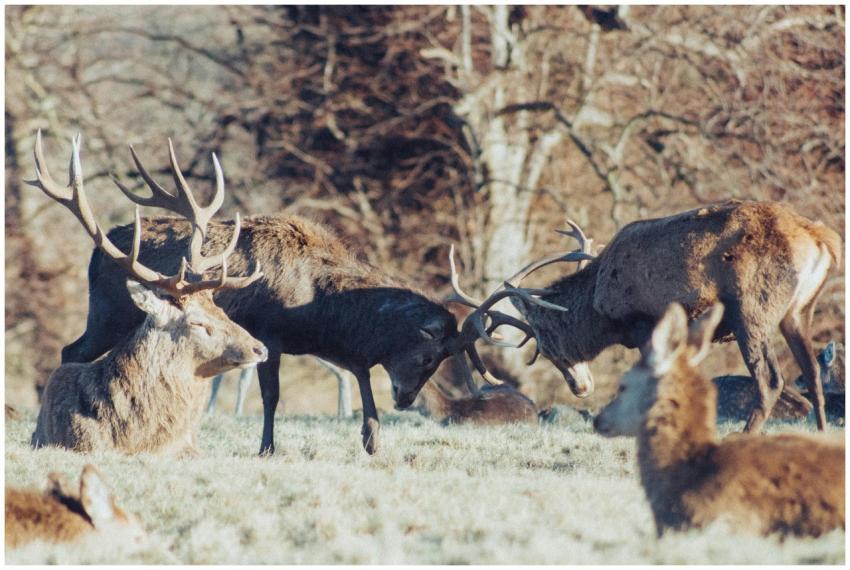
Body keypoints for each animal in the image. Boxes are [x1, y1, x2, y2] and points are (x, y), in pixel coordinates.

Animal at [54, 143, 560, 456]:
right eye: (428, 354)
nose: (404, 399)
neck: (321, 309)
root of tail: (97, 251)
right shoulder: (270, 334)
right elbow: (272, 395)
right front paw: (267, 448)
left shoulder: (337, 349)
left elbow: (360, 377)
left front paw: (373, 439)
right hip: (106, 314)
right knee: (69, 350)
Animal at [474, 201, 842, 433]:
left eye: (545, 346)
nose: (580, 388)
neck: (600, 305)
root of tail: (822, 241)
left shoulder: (645, 323)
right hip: (798, 311)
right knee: (812, 373)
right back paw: (821, 436)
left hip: (753, 309)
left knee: (772, 380)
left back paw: (744, 436)